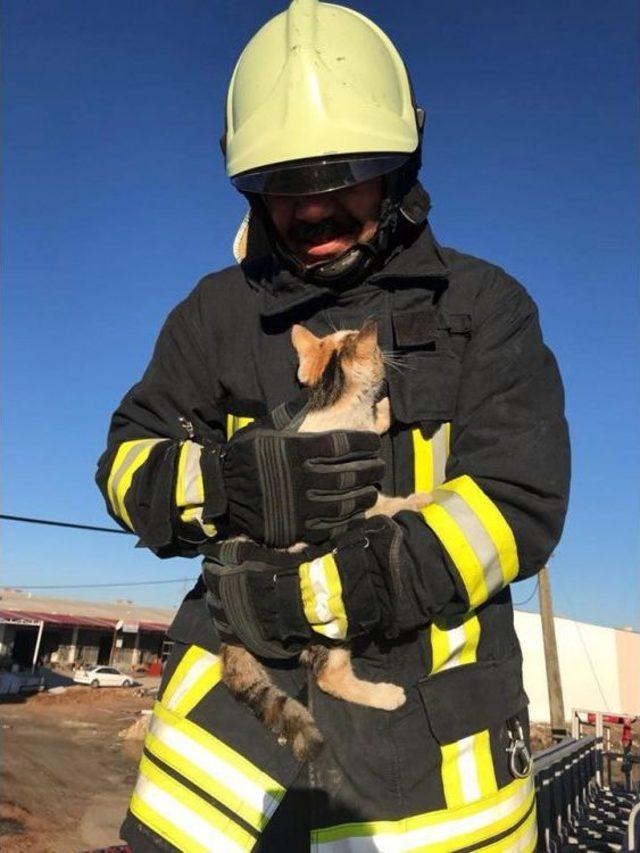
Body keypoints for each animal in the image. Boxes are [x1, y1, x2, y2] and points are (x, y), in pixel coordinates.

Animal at [218, 322, 432, 760]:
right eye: (374, 349)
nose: (388, 354)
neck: (328, 399)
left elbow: (373, 426)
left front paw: (383, 411)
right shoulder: (355, 498)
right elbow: (386, 504)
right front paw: (419, 499)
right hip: (330, 626)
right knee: (328, 678)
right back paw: (386, 696)